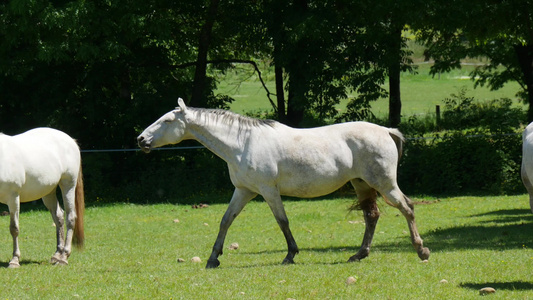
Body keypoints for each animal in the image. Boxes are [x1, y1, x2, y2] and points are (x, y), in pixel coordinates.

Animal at [0, 127, 83, 268]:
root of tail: (70, 140)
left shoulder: (13, 198)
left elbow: (14, 228)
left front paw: (14, 260)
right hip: (48, 192)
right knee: (58, 217)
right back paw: (57, 254)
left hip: (68, 185)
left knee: (70, 218)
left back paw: (64, 257)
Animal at [136, 99, 428, 268]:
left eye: (167, 120)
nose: (141, 140)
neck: (242, 143)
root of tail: (387, 130)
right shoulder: (243, 191)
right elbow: (225, 221)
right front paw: (213, 258)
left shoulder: (268, 191)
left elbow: (282, 221)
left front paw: (290, 255)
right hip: (362, 184)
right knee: (372, 216)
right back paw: (359, 255)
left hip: (383, 183)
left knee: (407, 208)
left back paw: (421, 250)